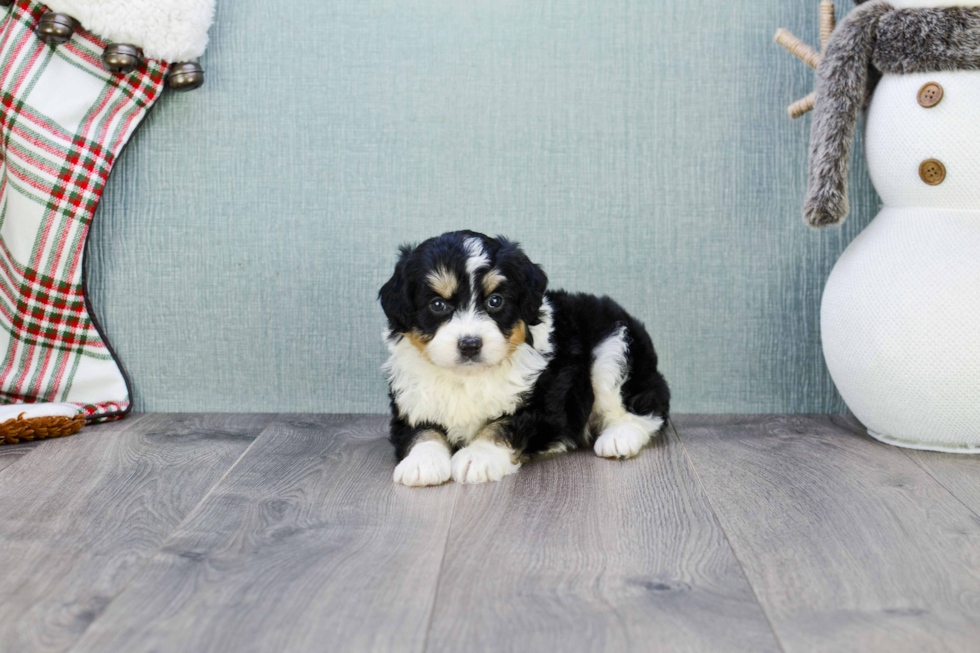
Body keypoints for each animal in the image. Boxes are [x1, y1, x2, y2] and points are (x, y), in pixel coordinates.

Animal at [378, 232, 668, 486]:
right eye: (437, 305)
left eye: (495, 301)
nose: (470, 344)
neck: (468, 376)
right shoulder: (409, 400)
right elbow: (421, 430)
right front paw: (422, 462)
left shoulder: (542, 402)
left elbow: (503, 425)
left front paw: (477, 457)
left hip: (613, 349)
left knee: (645, 409)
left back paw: (619, 438)